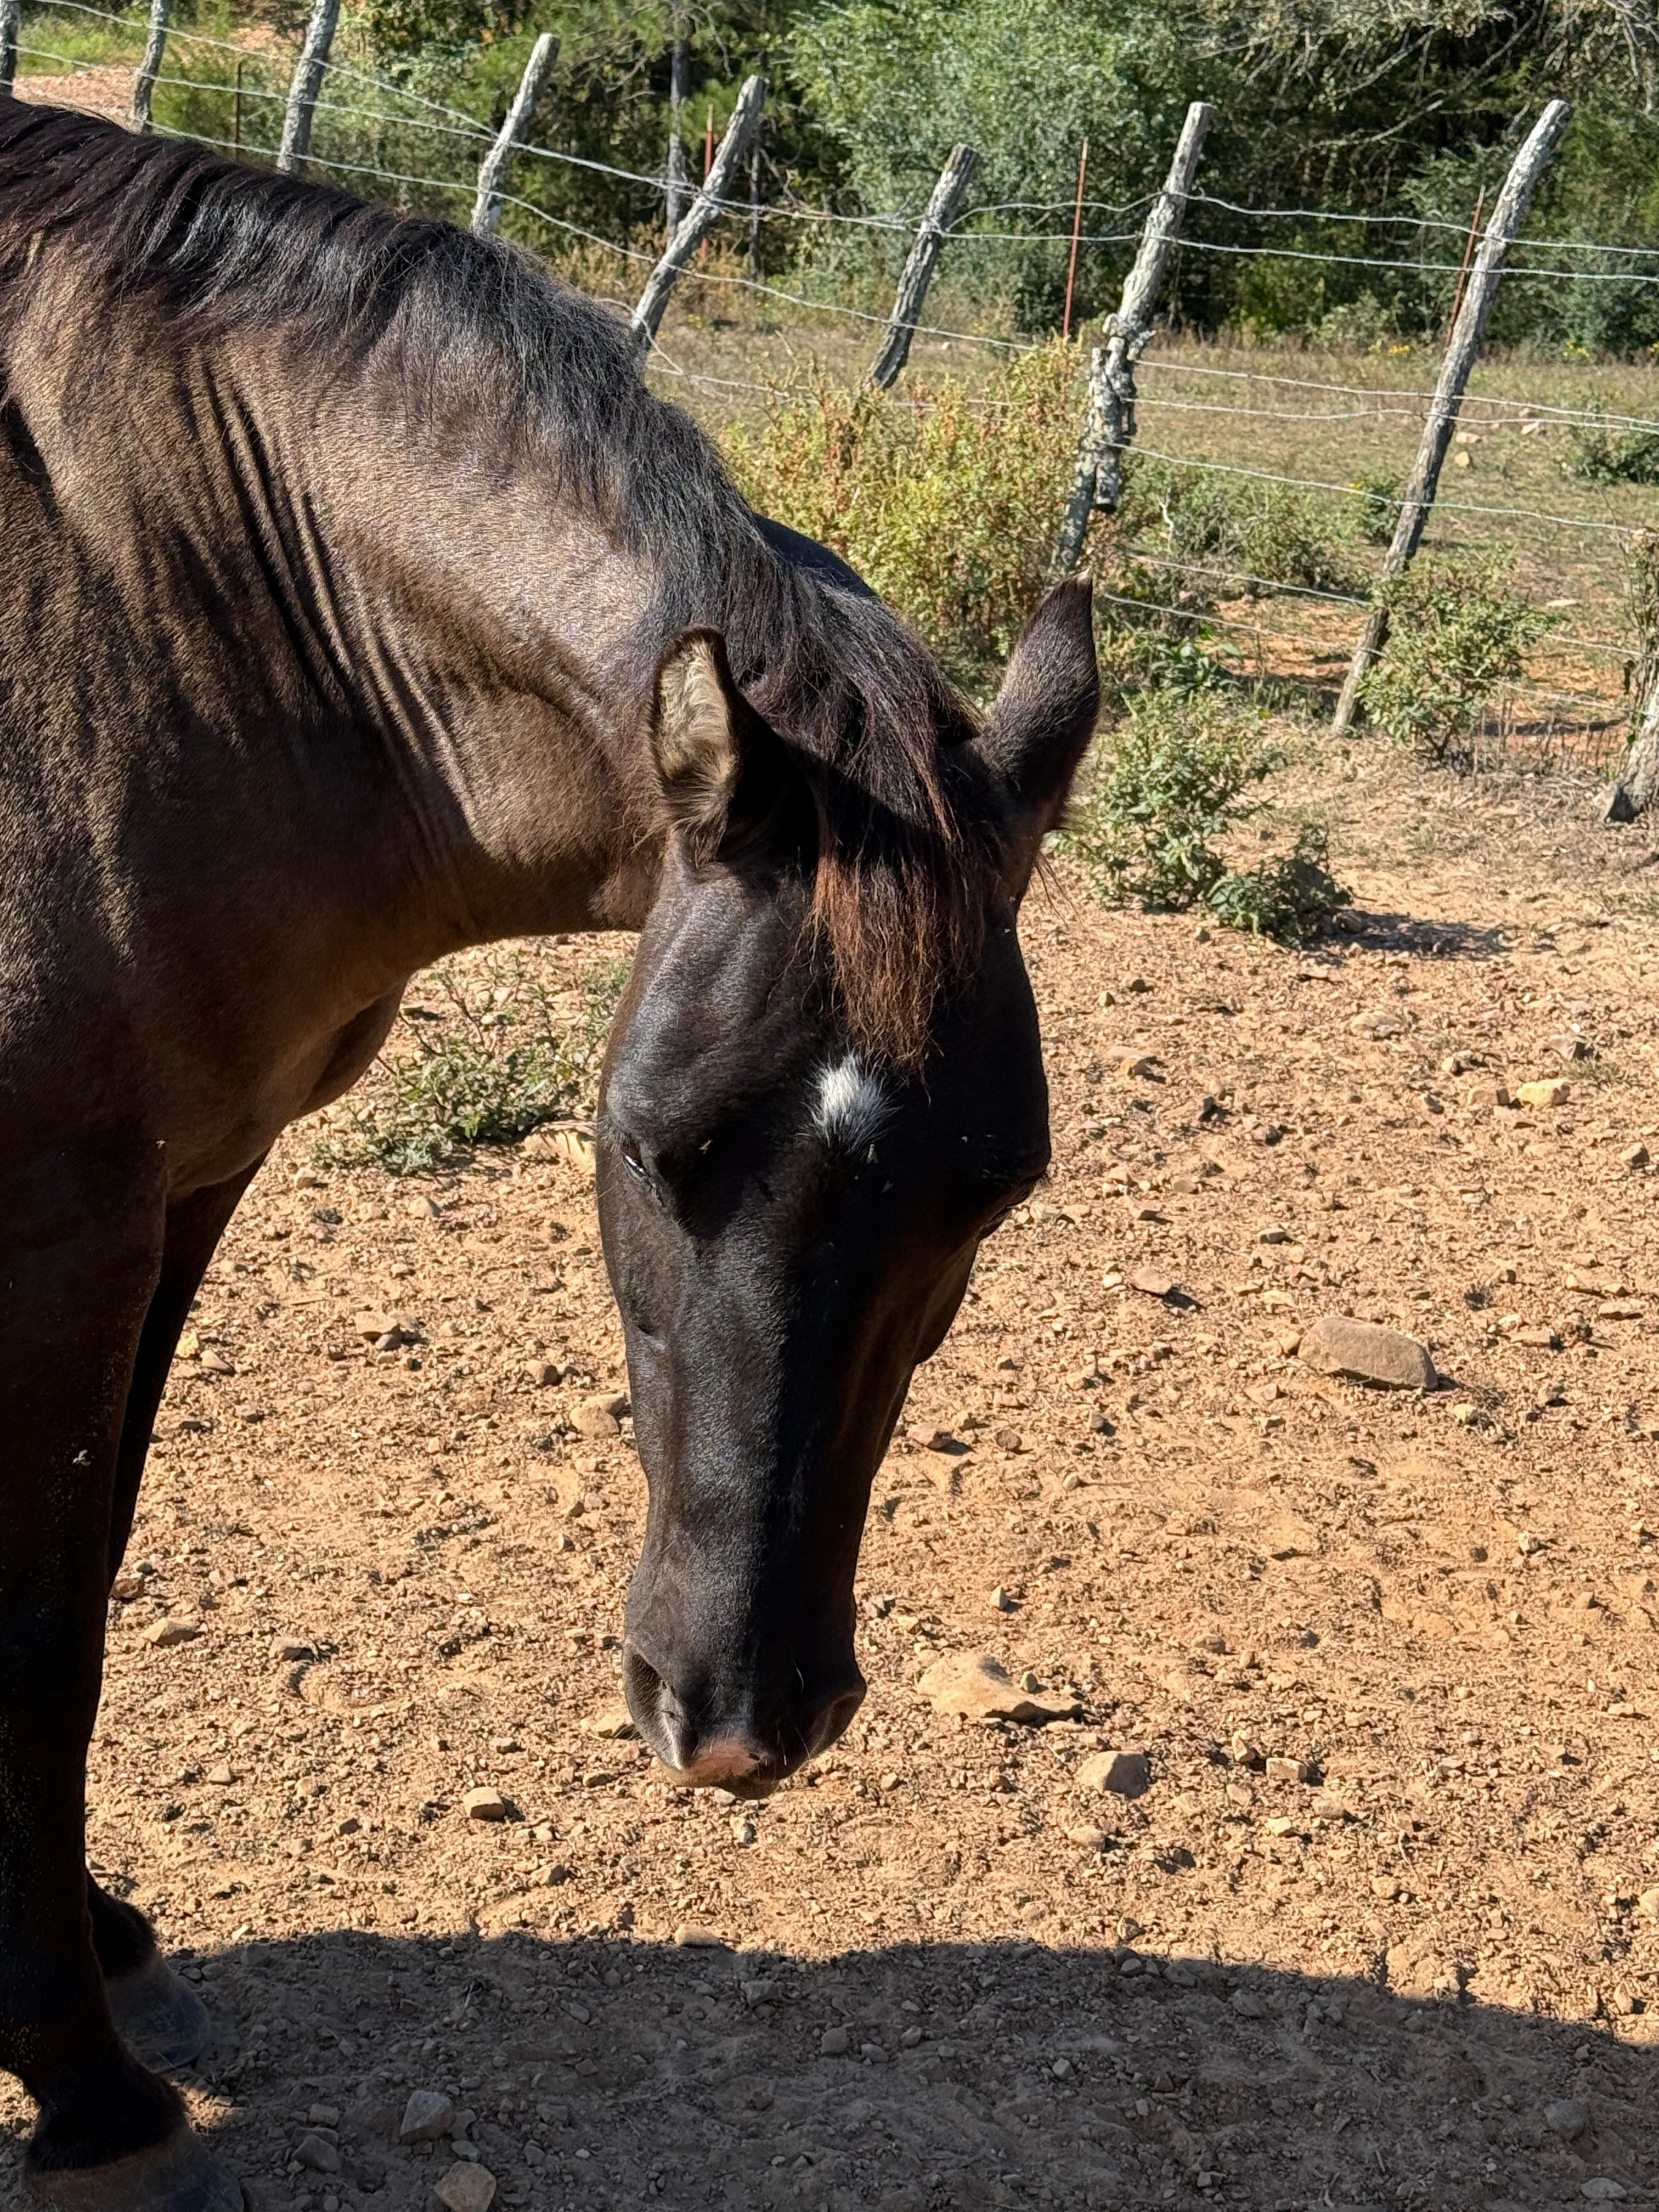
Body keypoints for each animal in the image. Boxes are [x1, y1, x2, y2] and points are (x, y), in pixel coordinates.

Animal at [0, 95, 1099, 2209]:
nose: (744, 1724)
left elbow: (83, 1601)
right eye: (651, 1150)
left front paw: (95, 1948)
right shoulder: (60, 1220)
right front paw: (88, 2093)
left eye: (995, 1191)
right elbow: (25, 1629)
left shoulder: (181, 1185)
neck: (152, 583)